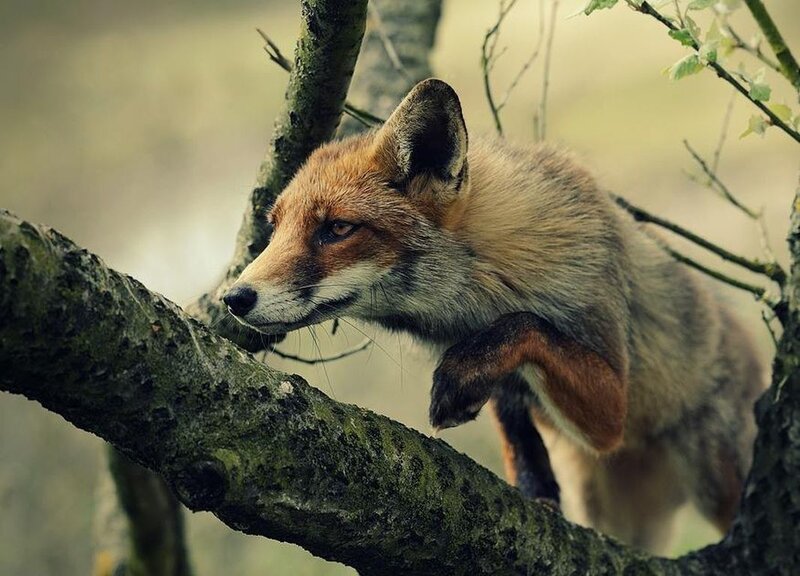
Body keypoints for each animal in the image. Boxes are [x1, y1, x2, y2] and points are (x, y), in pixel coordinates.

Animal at [223, 78, 765, 553]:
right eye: (274, 228)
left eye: (336, 229)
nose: (234, 298)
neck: (487, 280)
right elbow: (514, 423)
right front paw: (535, 490)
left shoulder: (611, 398)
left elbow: (524, 323)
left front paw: (461, 377)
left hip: (718, 483)